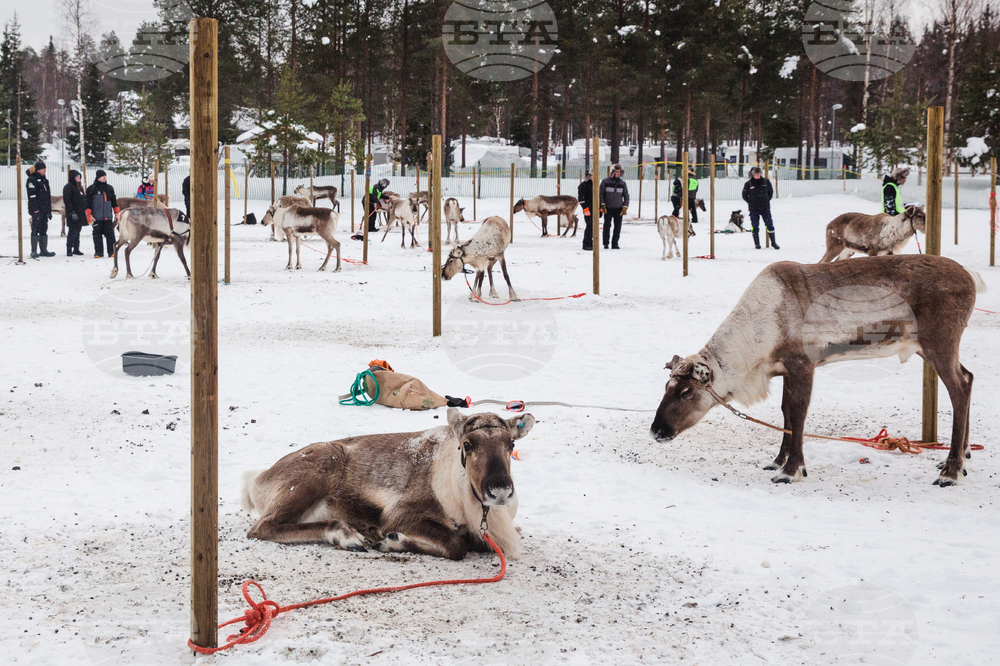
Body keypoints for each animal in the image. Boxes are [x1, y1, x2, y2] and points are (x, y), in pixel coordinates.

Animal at [650, 254, 986, 487]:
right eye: (666, 388)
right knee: (969, 377)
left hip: (939, 342)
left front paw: (791, 471)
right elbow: (785, 412)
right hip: (928, 348)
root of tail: (972, 277)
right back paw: (964, 456)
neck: (757, 341)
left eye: (685, 391)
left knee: (959, 389)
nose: (656, 431)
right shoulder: (785, 369)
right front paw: (777, 461)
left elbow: (798, 414)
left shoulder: (803, 364)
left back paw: (950, 471)